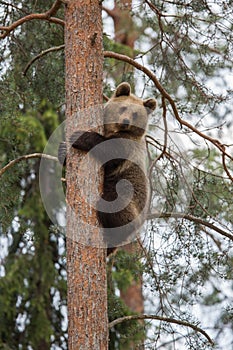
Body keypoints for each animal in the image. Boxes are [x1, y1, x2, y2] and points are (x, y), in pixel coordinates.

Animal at [58, 82, 157, 254]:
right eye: (123, 108)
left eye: (135, 114)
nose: (125, 121)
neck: (115, 130)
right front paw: (63, 150)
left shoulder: (126, 147)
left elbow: (108, 152)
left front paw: (80, 137)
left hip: (127, 196)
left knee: (114, 205)